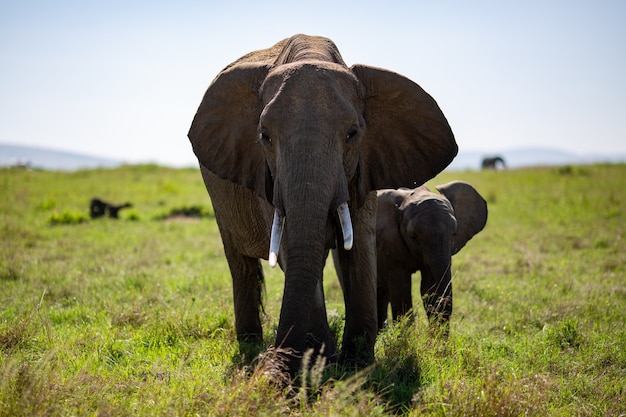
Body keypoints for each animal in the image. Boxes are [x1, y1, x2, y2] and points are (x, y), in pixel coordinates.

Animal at [188, 33, 456, 370]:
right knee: (241, 264)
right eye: (264, 136)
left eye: (353, 133)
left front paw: (356, 364)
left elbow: (360, 247)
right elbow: (290, 244)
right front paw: (323, 360)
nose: (271, 360)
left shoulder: (366, 165)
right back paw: (250, 344)